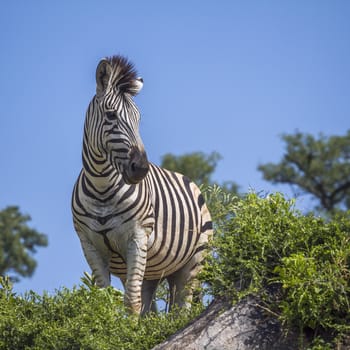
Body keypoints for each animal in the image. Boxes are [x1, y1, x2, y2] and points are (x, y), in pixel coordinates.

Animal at [72, 55, 212, 314]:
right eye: (111, 116)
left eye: (138, 120)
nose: (141, 168)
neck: (102, 187)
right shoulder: (89, 244)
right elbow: (103, 302)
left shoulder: (137, 237)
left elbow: (132, 302)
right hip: (154, 269)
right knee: (151, 307)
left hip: (194, 260)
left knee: (181, 308)